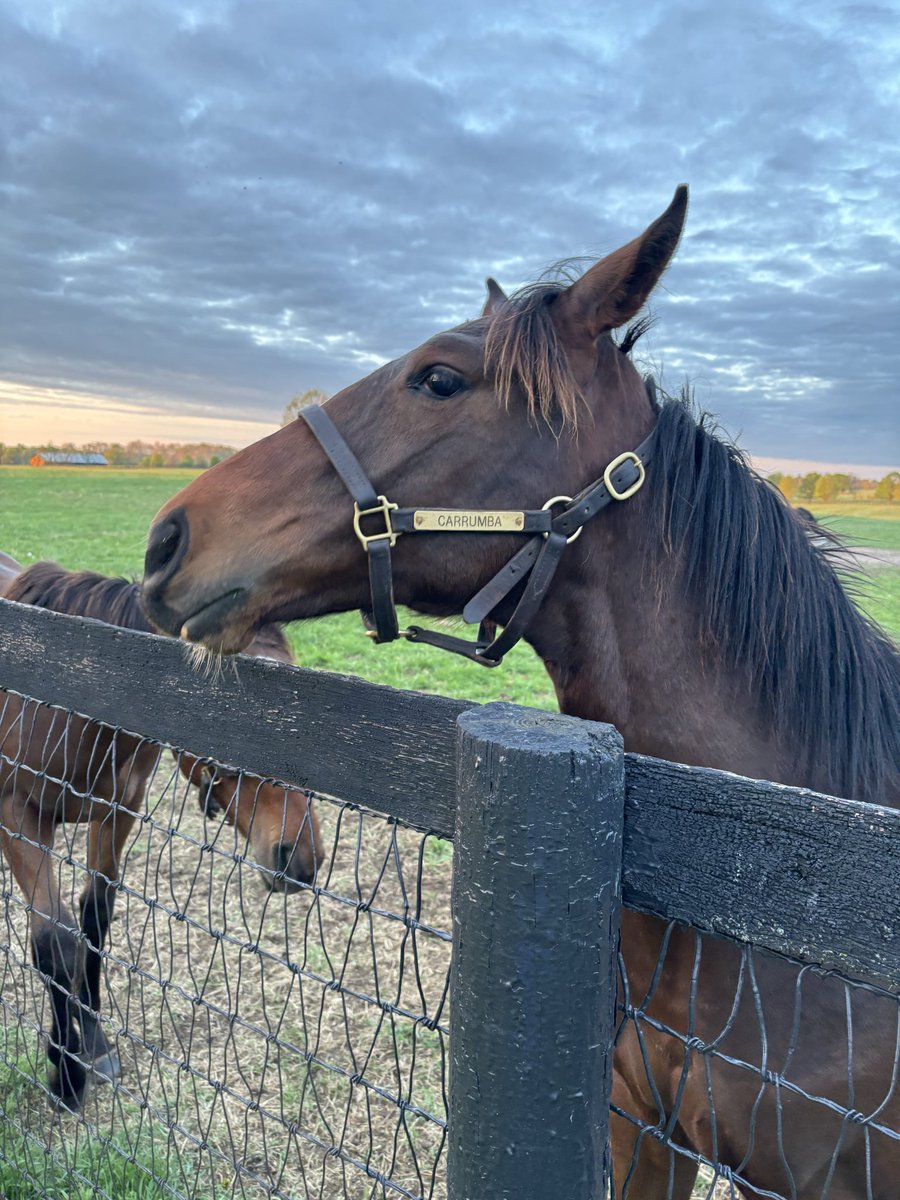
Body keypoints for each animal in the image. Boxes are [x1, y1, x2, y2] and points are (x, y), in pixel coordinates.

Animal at [0, 557, 323, 1110]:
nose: (299, 856)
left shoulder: (117, 815)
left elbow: (94, 919)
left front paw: (93, 1041)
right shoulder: (17, 816)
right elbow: (54, 940)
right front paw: (65, 1072)